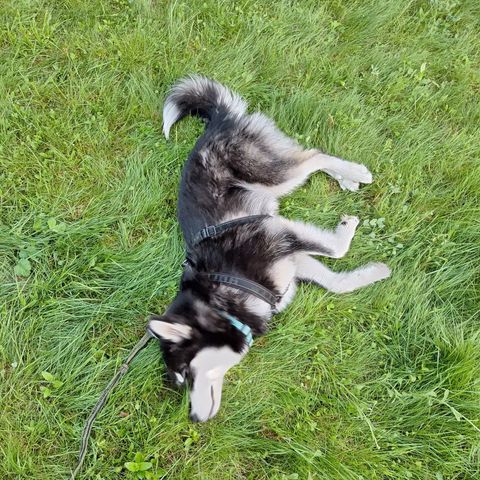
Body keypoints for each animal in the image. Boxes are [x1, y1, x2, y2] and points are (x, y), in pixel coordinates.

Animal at [147, 77, 390, 422]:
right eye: (180, 381)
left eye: (186, 373)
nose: (193, 418)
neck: (223, 298)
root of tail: (216, 122)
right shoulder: (292, 258)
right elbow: (338, 283)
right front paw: (375, 272)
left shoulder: (275, 230)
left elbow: (335, 249)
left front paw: (346, 229)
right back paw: (347, 179)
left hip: (269, 173)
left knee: (313, 156)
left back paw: (354, 172)